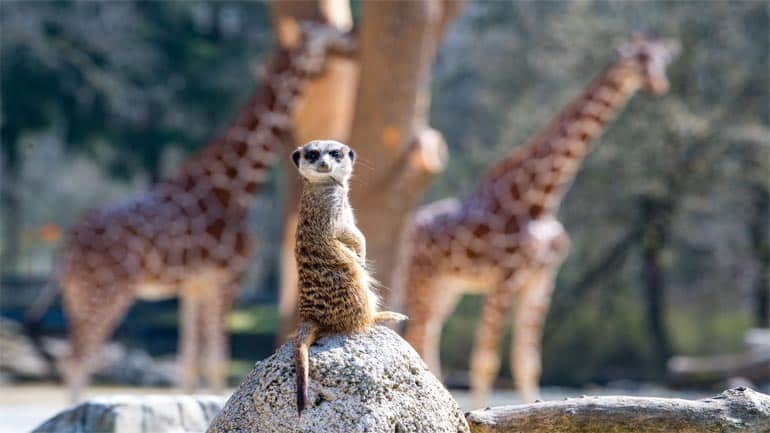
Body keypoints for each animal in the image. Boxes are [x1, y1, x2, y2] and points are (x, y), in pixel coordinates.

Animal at [54, 23, 352, 400]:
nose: (351, 34)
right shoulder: (227, 275)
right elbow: (215, 360)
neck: (235, 186)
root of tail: (67, 248)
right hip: (105, 290)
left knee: (75, 357)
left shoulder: (196, 284)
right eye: (329, 32)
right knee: (80, 358)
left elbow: (189, 363)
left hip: (76, 294)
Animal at [400, 34, 676, 404]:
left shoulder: (542, 279)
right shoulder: (505, 278)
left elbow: (527, 362)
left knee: (427, 334)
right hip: (421, 280)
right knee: (418, 334)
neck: (541, 199)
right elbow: (485, 362)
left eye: (662, 59)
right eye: (638, 60)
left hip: (448, 286)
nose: (658, 84)